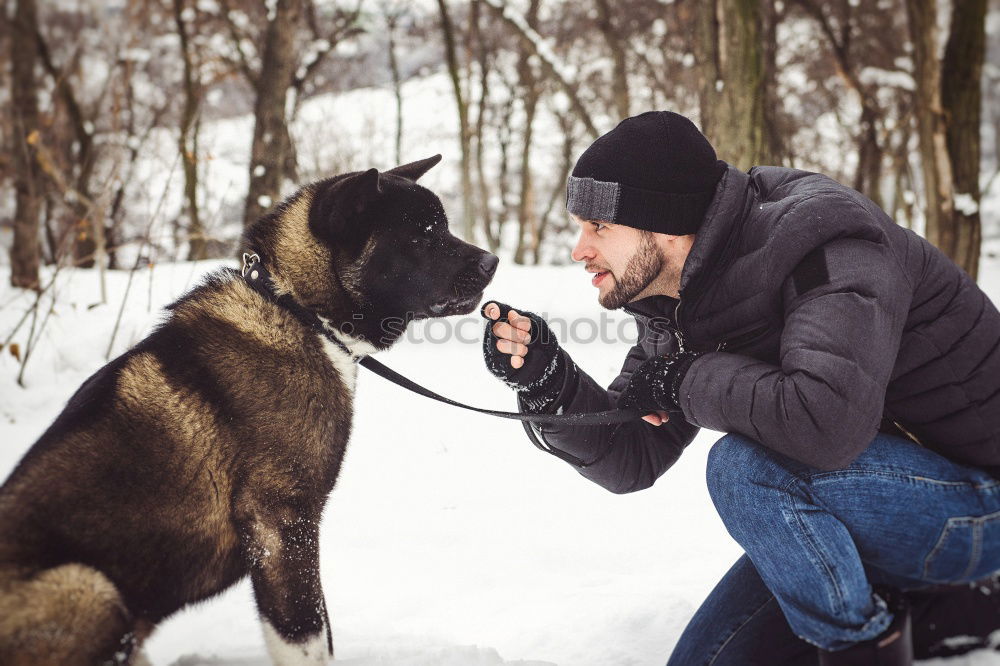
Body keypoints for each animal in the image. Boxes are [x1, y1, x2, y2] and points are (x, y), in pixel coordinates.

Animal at [0, 157, 500, 664]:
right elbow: (305, 635)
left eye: (442, 227)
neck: (297, 310)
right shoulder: (281, 524)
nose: (491, 262)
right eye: (420, 237)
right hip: (88, 586)